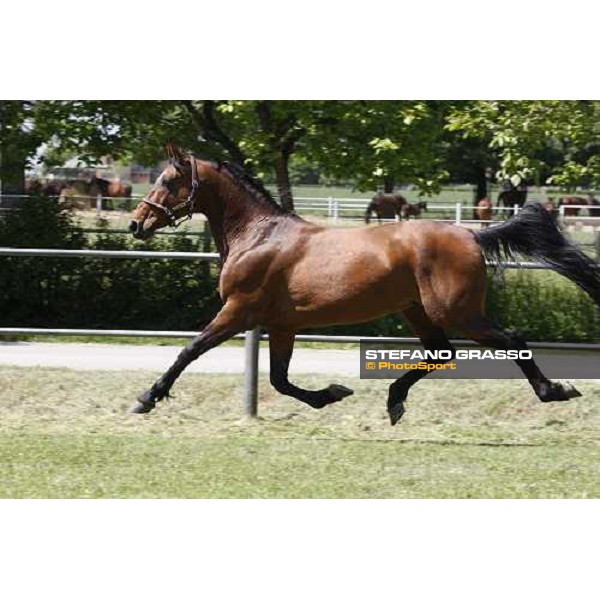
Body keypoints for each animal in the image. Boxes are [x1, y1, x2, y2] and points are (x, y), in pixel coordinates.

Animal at [127, 145, 600, 426]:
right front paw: (331, 395)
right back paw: (394, 400)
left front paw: (147, 397)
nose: (136, 224)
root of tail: (469, 234)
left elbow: (189, 350)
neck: (259, 236)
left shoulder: (237, 312)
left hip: (457, 312)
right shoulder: (281, 326)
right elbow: (279, 379)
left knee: (511, 339)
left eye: (168, 181)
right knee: (439, 352)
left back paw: (554, 391)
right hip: (417, 310)